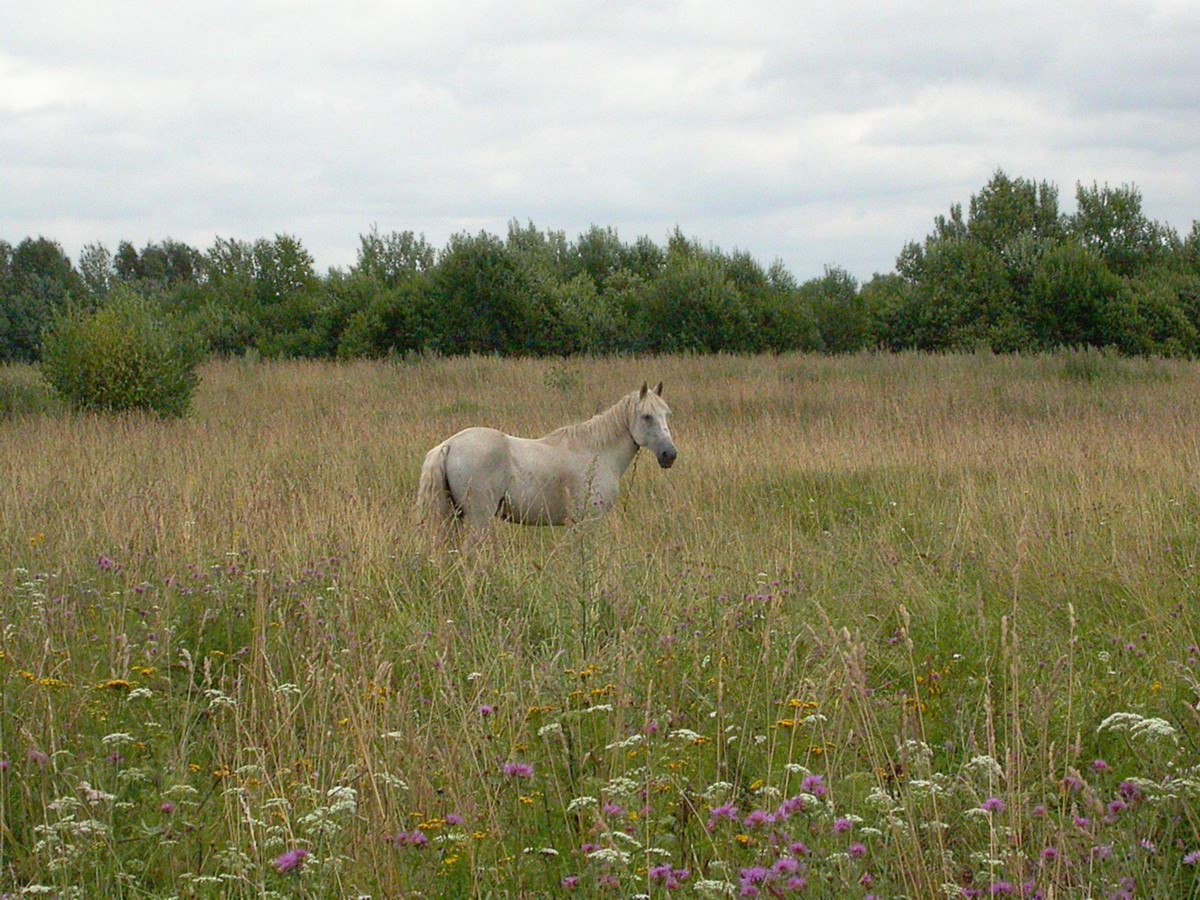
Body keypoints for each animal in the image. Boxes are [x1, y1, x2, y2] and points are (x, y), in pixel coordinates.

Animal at [417, 381, 676, 542]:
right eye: (647, 416)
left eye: (666, 415)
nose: (670, 455)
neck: (597, 452)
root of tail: (448, 445)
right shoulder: (589, 522)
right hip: (478, 518)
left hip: (452, 516)